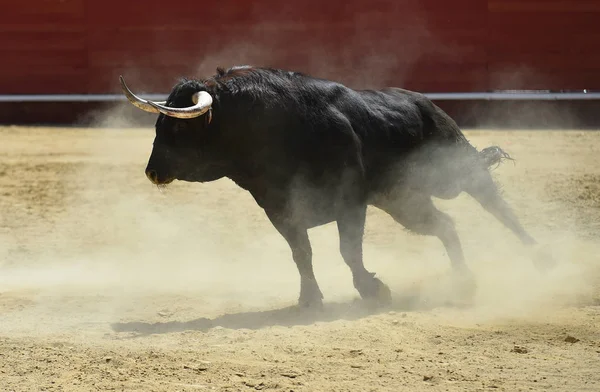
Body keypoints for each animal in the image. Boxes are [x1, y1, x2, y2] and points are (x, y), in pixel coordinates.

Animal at [122, 66, 544, 308]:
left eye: (178, 127)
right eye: (158, 125)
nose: (152, 172)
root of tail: (425, 102)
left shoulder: (349, 201)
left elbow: (348, 251)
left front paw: (373, 290)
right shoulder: (281, 210)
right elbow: (302, 254)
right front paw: (309, 298)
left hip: (457, 170)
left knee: (497, 206)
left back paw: (542, 257)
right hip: (403, 200)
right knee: (445, 226)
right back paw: (464, 282)